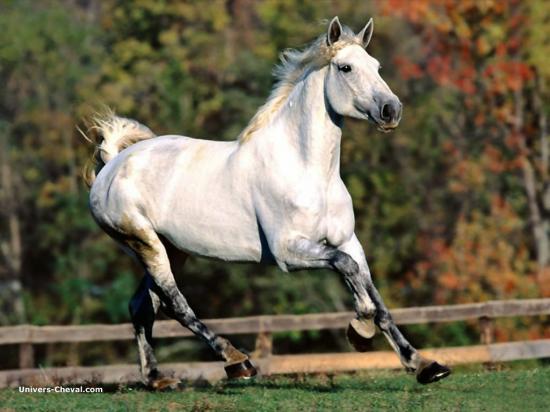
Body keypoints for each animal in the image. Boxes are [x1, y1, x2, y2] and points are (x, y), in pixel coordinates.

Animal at [84, 17, 450, 388]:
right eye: (345, 68)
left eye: (377, 66)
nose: (392, 110)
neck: (307, 169)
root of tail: (113, 164)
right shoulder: (288, 252)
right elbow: (347, 270)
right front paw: (360, 328)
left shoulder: (348, 240)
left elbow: (375, 294)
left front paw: (423, 364)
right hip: (145, 243)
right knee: (175, 304)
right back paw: (236, 361)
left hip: (172, 249)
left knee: (142, 306)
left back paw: (157, 379)